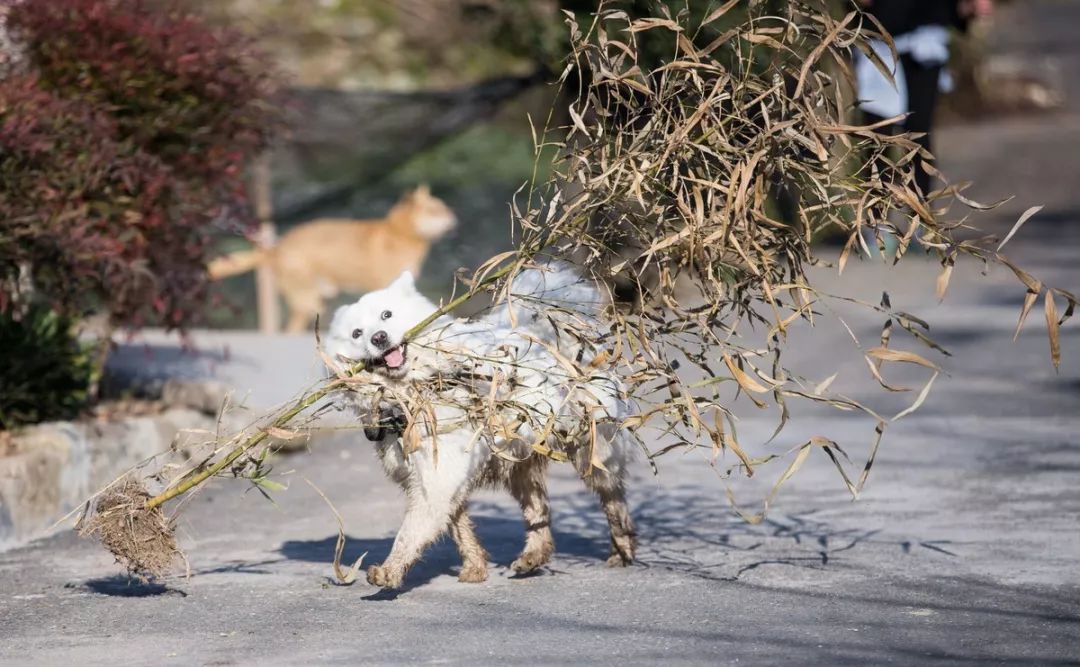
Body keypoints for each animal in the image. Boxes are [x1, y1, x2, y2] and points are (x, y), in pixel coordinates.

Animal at [324, 264, 635, 587]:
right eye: (356, 333)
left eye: (387, 314)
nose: (379, 337)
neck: (410, 396)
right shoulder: (435, 480)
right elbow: (459, 529)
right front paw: (475, 567)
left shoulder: (436, 480)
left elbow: (410, 533)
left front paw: (389, 570)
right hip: (520, 463)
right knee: (539, 511)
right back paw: (533, 555)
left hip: (595, 452)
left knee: (613, 498)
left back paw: (621, 549)